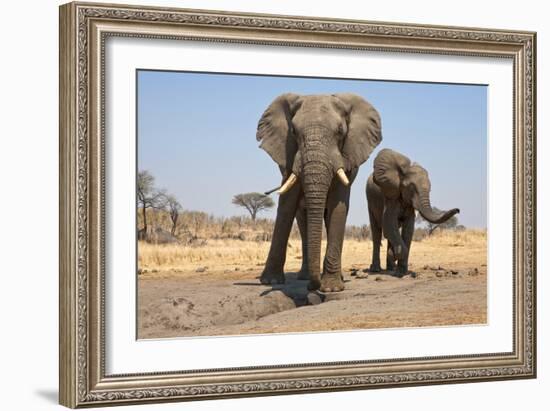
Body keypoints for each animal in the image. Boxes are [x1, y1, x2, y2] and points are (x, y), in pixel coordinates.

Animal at [258, 93, 384, 292]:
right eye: (293, 131)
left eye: (340, 131)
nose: (312, 287)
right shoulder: (289, 156)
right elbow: (286, 205)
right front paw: (271, 282)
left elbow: (338, 206)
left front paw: (331, 288)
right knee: (303, 220)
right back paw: (304, 276)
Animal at [366, 148, 462, 276]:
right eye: (411, 187)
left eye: (430, 189)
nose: (458, 210)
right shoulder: (391, 197)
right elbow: (389, 223)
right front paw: (395, 257)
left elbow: (408, 229)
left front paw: (401, 271)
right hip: (370, 199)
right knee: (377, 231)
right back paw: (376, 269)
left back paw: (391, 268)